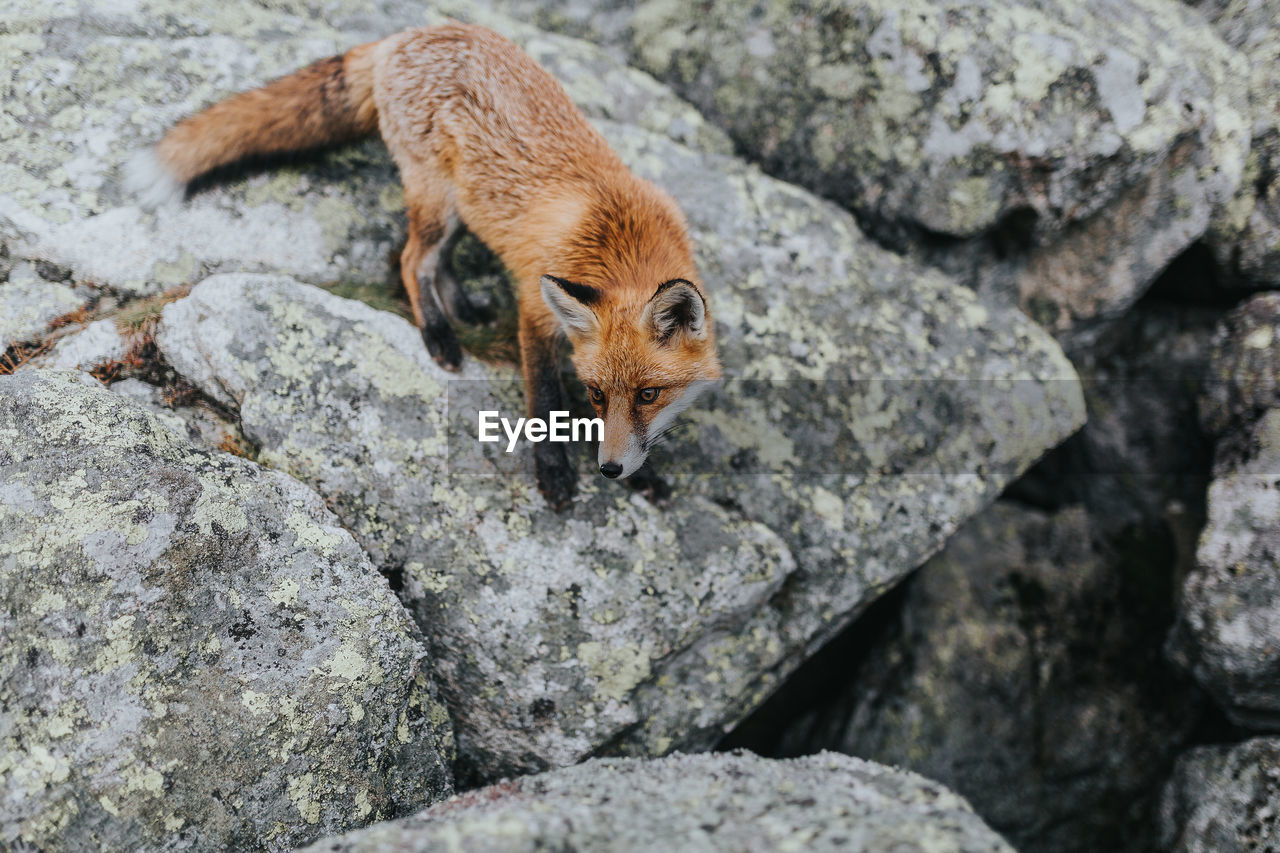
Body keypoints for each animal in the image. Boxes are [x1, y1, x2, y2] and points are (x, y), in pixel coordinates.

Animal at [127, 23, 721, 507]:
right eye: (597, 394)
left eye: (648, 395)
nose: (610, 470)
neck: (622, 244)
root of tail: (408, 35)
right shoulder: (535, 311)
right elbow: (544, 400)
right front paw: (554, 475)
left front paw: (645, 476)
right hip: (438, 200)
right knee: (412, 259)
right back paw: (438, 334)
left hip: (460, 205)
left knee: (436, 261)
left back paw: (461, 309)